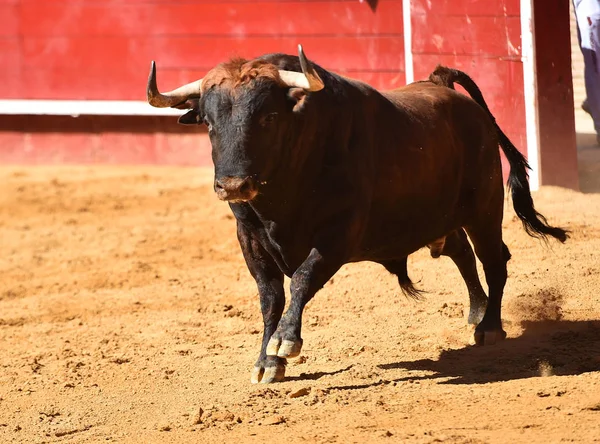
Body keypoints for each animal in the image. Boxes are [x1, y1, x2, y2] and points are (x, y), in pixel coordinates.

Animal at [146, 46, 568, 386]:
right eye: (209, 123)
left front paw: (286, 341)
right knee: (461, 252)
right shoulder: (250, 240)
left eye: (268, 118)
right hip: (440, 220)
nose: (233, 185)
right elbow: (270, 299)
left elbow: (303, 278)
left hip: (484, 208)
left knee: (494, 260)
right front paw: (267, 361)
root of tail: (443, 86)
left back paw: (490, 327)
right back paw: (476, 312)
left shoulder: (339, 233)